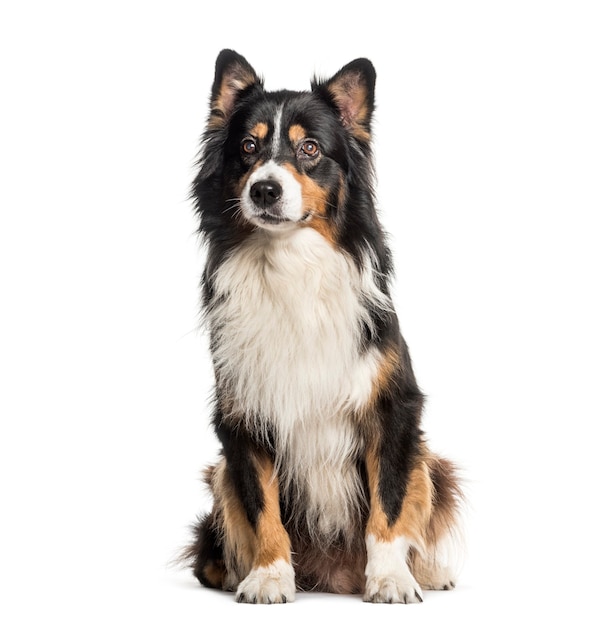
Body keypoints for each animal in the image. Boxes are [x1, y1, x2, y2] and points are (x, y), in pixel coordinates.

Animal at [186, 51, 462, 604]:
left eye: (310, 148)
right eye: (248, 147)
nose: (265, 189)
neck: (291, 260)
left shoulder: (392, 408)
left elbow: (389, 504)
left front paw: (391, 579)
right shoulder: (243, 414)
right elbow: (262, 507)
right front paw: (269, 576)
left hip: (430, 459)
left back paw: (428, 572)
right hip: (219, 471)